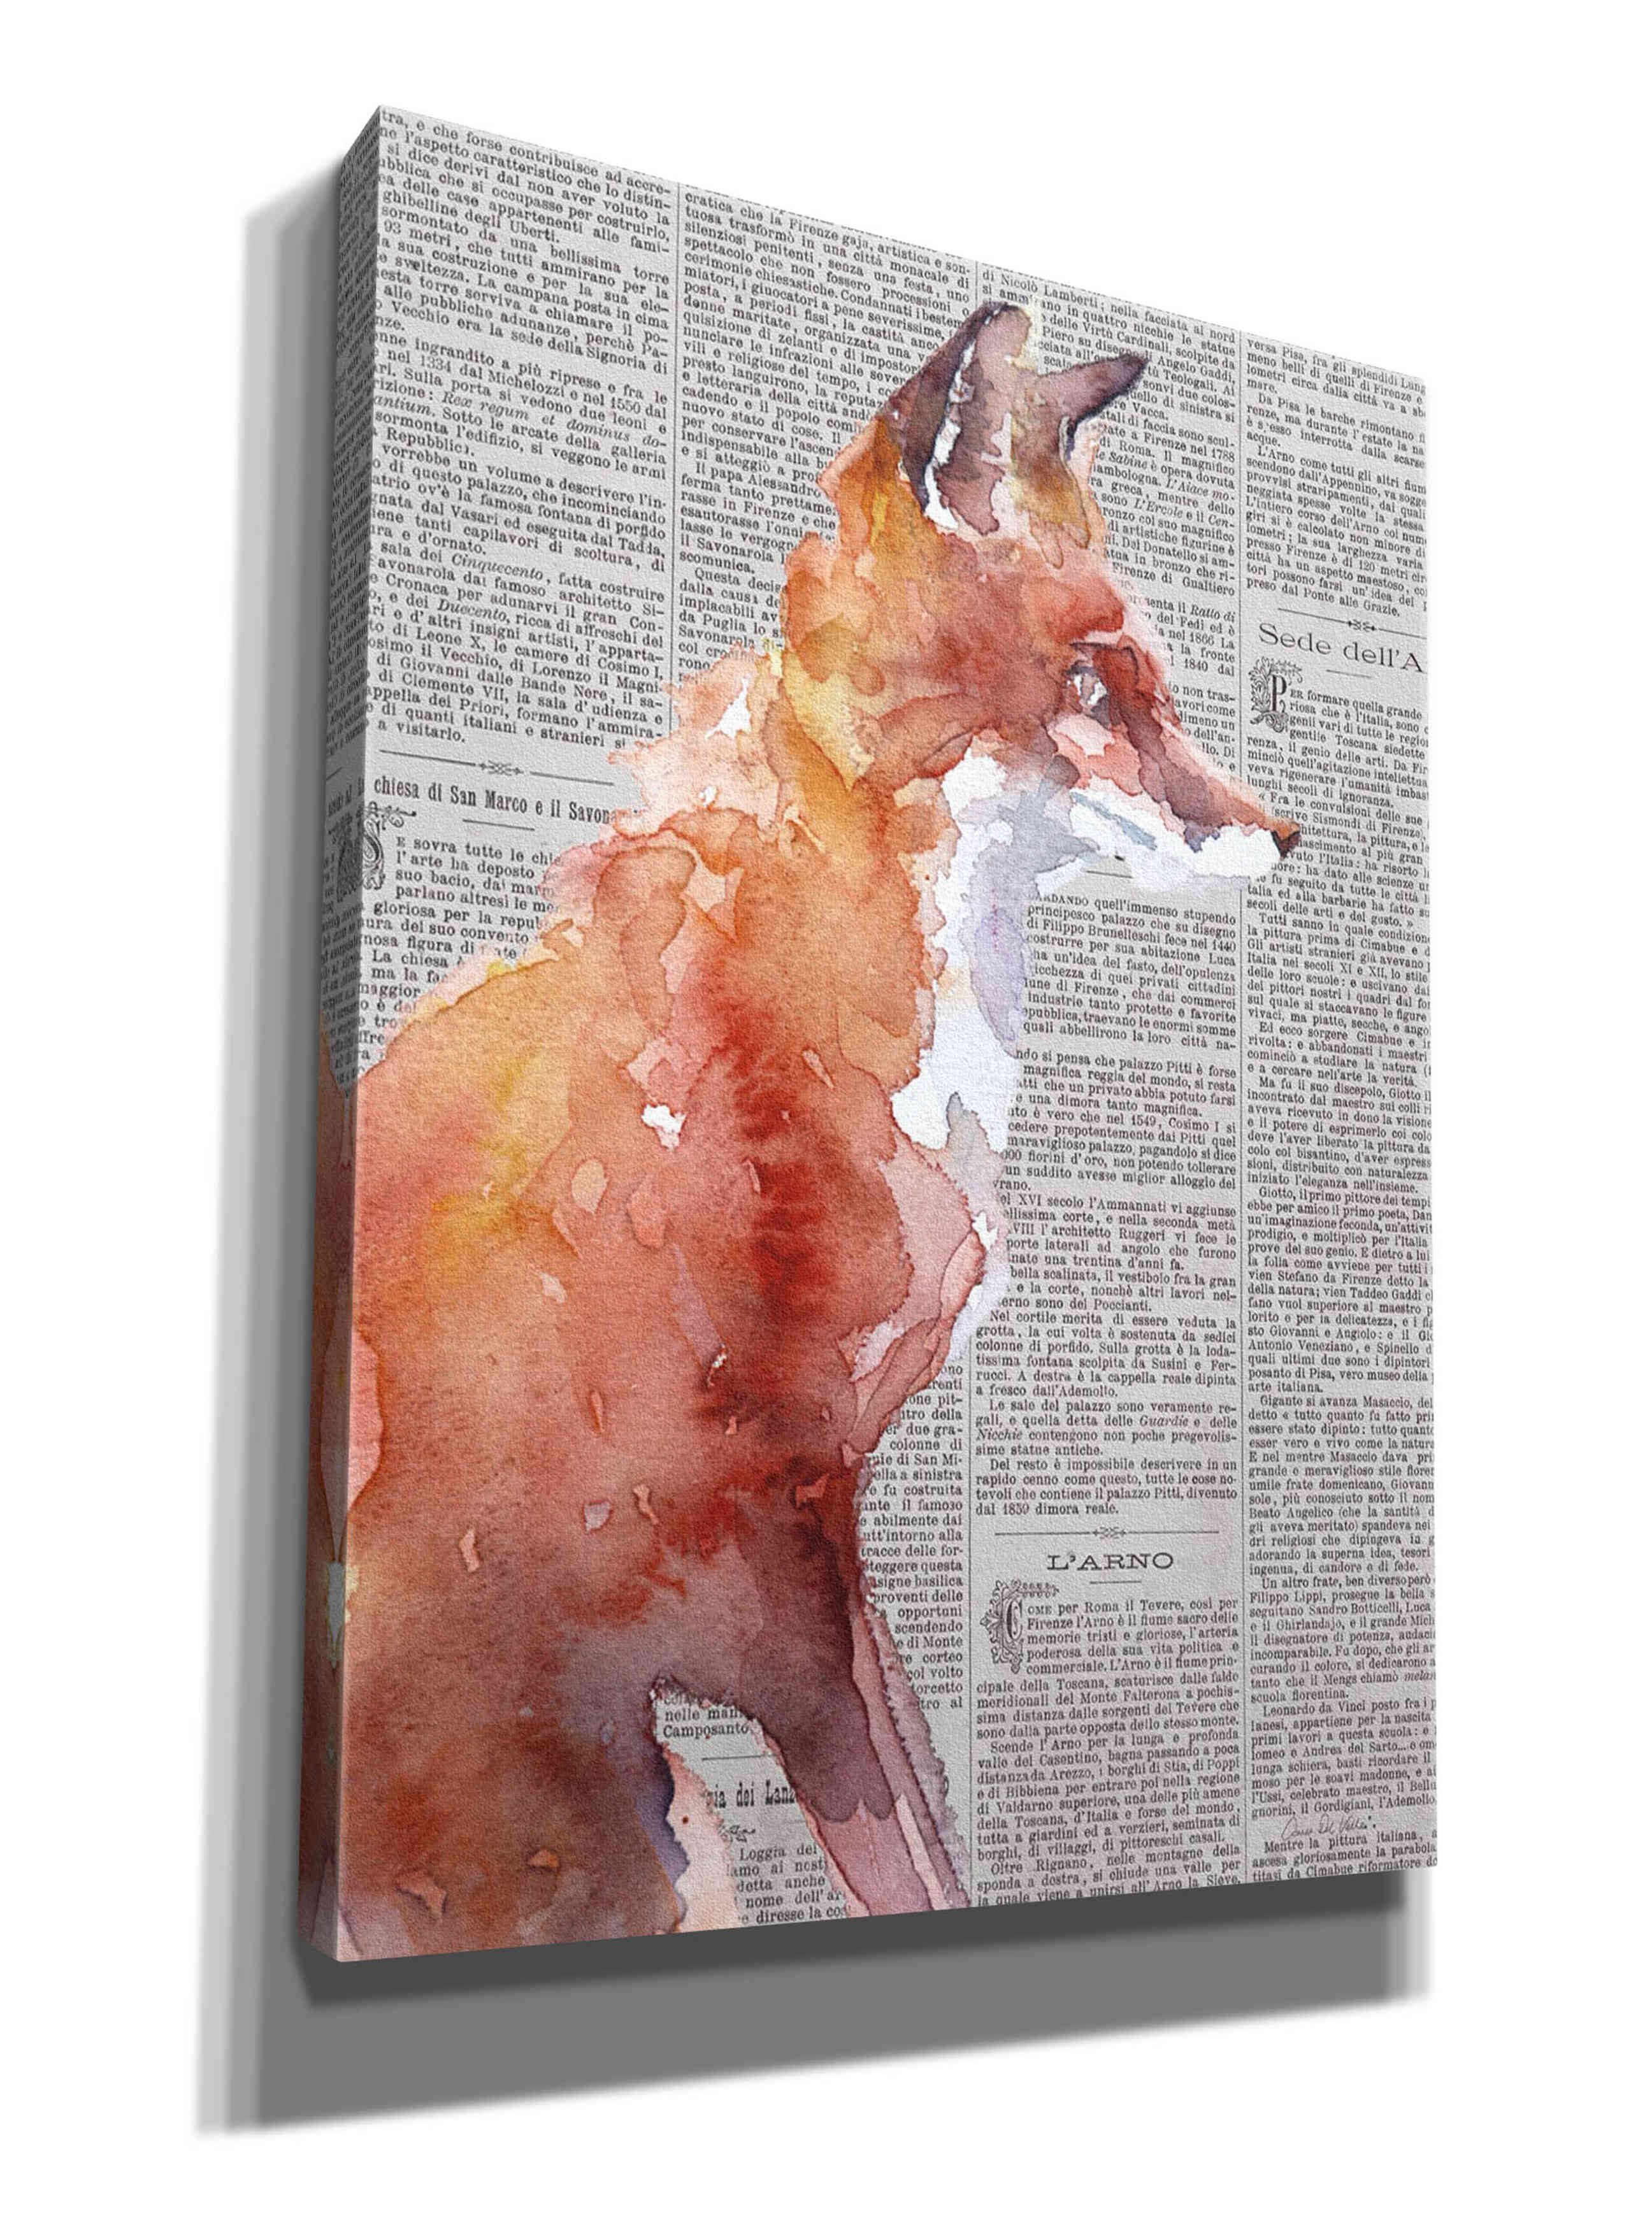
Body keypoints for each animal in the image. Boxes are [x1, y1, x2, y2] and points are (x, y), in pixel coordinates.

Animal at [300, 301, 1298, 1958]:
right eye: (1095, 690)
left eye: (1154, 682)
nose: (1287, 839)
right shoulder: (760, 1524)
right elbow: (888, 1835)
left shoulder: (842, 1499)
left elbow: (926, 1807)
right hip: (664, 1823)